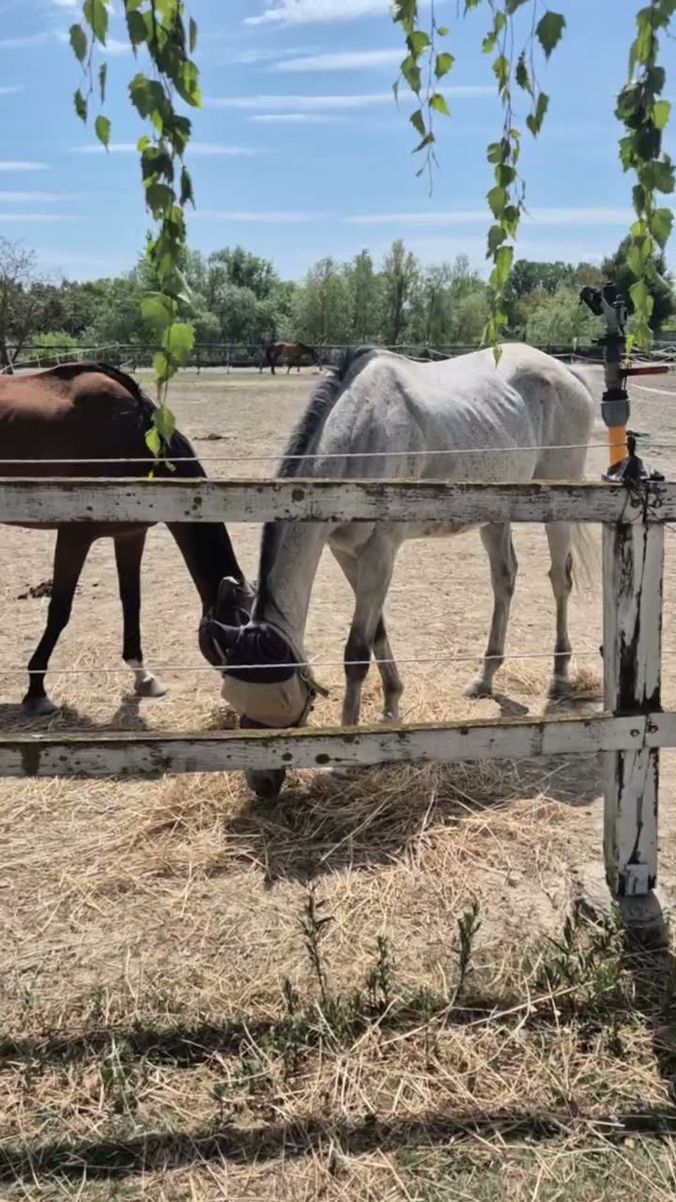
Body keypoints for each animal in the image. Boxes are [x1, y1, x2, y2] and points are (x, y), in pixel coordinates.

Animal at [1, 362, 252, 715]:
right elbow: (60, 610)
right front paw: (36, 691)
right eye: (232, 645)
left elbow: (132, 601)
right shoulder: (74, 536)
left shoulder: (131, 535)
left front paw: (144, 677)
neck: (130, 435)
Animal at [199, 343, 596, 799]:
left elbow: (356, 650)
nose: (261, 784)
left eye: (282, 702)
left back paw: (559, 675)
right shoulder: (346, 552)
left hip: (557, 505)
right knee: (504, 579)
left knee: (559, 580)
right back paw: (484, 679)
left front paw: (345, 752)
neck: (357, 438)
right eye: (235, 700)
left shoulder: (381, 550)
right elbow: (378, 631)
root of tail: (566, 372)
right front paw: (391, 706)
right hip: (496, 511)